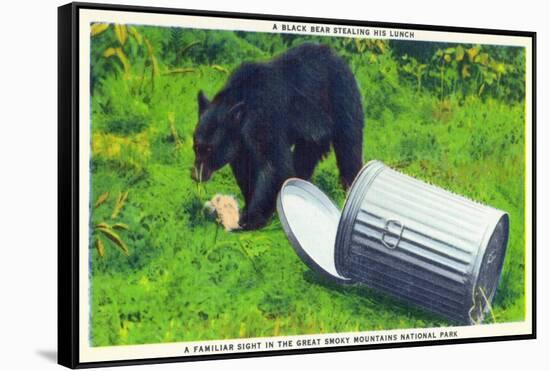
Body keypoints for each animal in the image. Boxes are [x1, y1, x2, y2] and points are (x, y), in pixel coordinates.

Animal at [194, 42, 366, 230]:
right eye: (196, 146)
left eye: (209, 149)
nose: (196, 175)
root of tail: (337, 57)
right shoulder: (241, 143)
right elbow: (246, 168)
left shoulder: (265, 118)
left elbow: (274, 165)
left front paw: (250, 218)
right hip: (315, 131)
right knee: (306, 155)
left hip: (342, 102)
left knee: (349, 148)